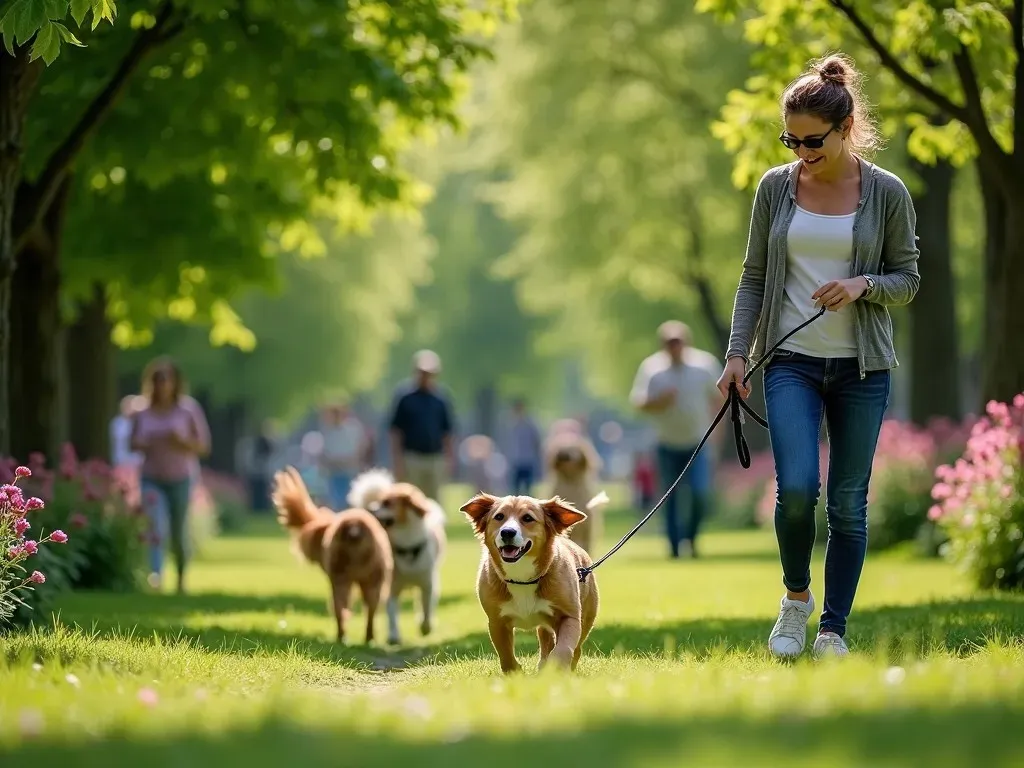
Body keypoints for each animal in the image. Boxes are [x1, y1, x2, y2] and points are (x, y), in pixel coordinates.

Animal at [272, 466, 391, 647]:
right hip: (360, 582)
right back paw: (362, 638)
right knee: (360, 612)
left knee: (343, 610)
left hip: (347, 582)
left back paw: (345, 637)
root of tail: (354, 527)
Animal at [460, 489, 598, 675]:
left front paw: (555, 668)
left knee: (576, 649)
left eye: (527, 518)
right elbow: (505, 654)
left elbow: (564, 648)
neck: (521, 579)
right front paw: (515, 673)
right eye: (499, 516)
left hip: (586, 617)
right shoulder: (496, 621)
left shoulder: (569, 617)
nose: (507, 532)